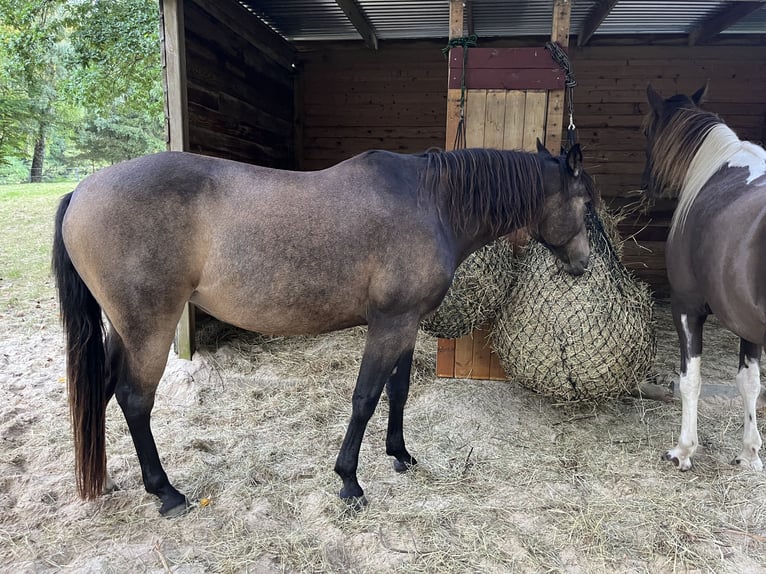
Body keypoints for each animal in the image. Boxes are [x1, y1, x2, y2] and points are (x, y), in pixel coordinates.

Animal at [52, 141, 595, 517]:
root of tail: (80, 191)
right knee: (134, 399)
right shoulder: (389, 324)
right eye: (586, 204)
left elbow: (397, 391)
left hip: (123, 330)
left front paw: (400, 454)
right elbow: (365, 398)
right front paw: (349, 481)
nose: (583, 264)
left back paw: (106, 480)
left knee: (103, 391)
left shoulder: (407, 324)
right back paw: (165, 491)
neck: (430, 203)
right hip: (150, 327)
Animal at [643, 83, 766, 472]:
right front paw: (750, 452)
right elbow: (749, 382)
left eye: (647, 130)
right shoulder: (747, 323)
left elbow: (690, 380)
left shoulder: (686, 307)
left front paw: (683, 450)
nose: (646, 184)